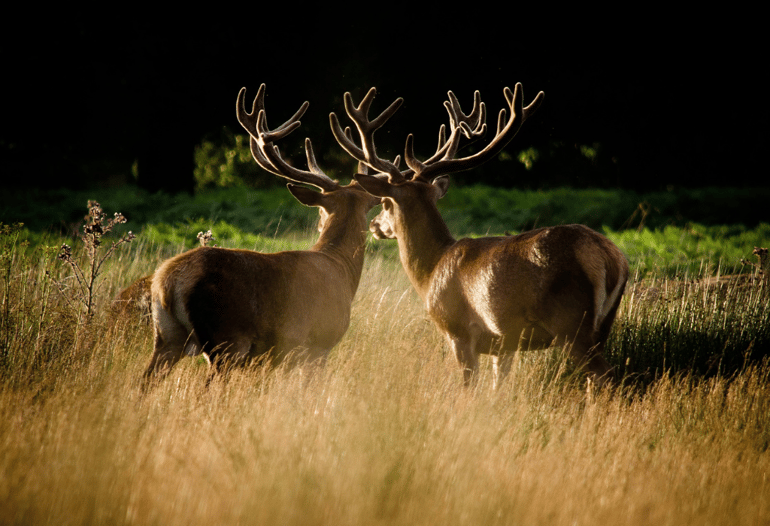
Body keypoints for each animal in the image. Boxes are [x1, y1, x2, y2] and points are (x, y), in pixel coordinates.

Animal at [142, 83, 378, 388]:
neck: (341, 267)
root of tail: (169, 281)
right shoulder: (319, 343)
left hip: (166, 335)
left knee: (144, 381)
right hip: (227, 338)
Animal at [328, 82, 624, 388]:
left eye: (386, 202)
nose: (375, 225)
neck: (431, 272)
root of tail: (609, 257)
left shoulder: (458, 331)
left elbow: (469, 385)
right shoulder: (504, 345)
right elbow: (498, 387)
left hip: (570, 320)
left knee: (606, 375)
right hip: (603, 323)